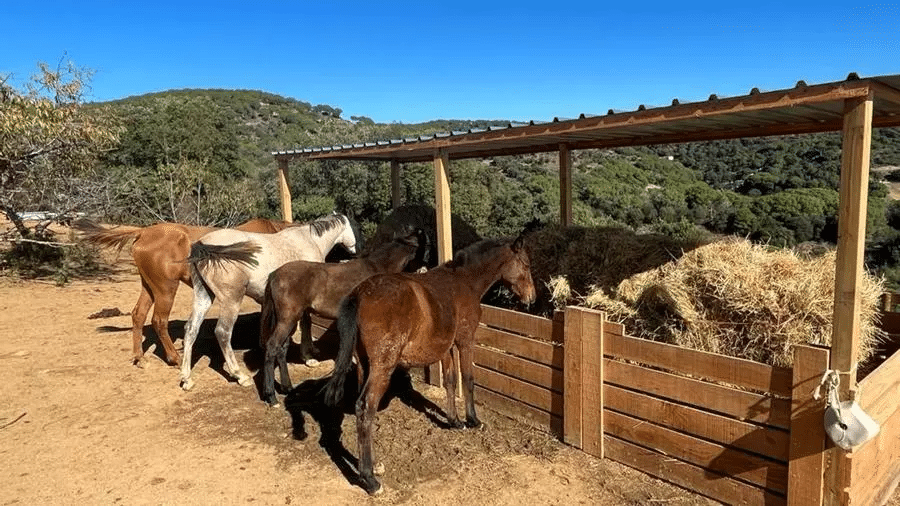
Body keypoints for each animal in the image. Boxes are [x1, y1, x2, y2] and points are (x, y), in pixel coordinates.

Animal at [76, 218, 294, 367]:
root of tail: (144, 232)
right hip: (166, 288)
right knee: (159, 321)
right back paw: (174, 357)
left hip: (149, 286)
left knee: (138, 315)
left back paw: (139, 357)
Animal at [180, 213, 358, 391]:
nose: (355, 251)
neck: (310, 241)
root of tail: (202, 244)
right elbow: (306, 324)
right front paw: (308, 357)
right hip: (231, 300)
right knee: (223, 333)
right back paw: (239, 375)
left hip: (203, 296)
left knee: (191, 329)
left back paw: (186, 378)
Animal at [257, 227, 428, 407]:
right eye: (425, 247)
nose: (425, 269)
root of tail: (275, 274)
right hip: (287, 319)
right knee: (272, 347)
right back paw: (271, 397)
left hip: (288, 320)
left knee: (281, 350)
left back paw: (287, 388)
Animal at [322, 232, 536, 495]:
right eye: (526, 264)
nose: (531, 298)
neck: (464, 281)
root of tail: (360, 294)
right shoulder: (465, 342)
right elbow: (468, 379)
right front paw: (473, 420)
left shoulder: (446, 348)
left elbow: (451, 382)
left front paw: (455, 421)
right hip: (382, 368)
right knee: (364, 407)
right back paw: (369, 479)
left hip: (364, 365)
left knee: (363, 413)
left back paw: (372, 466)